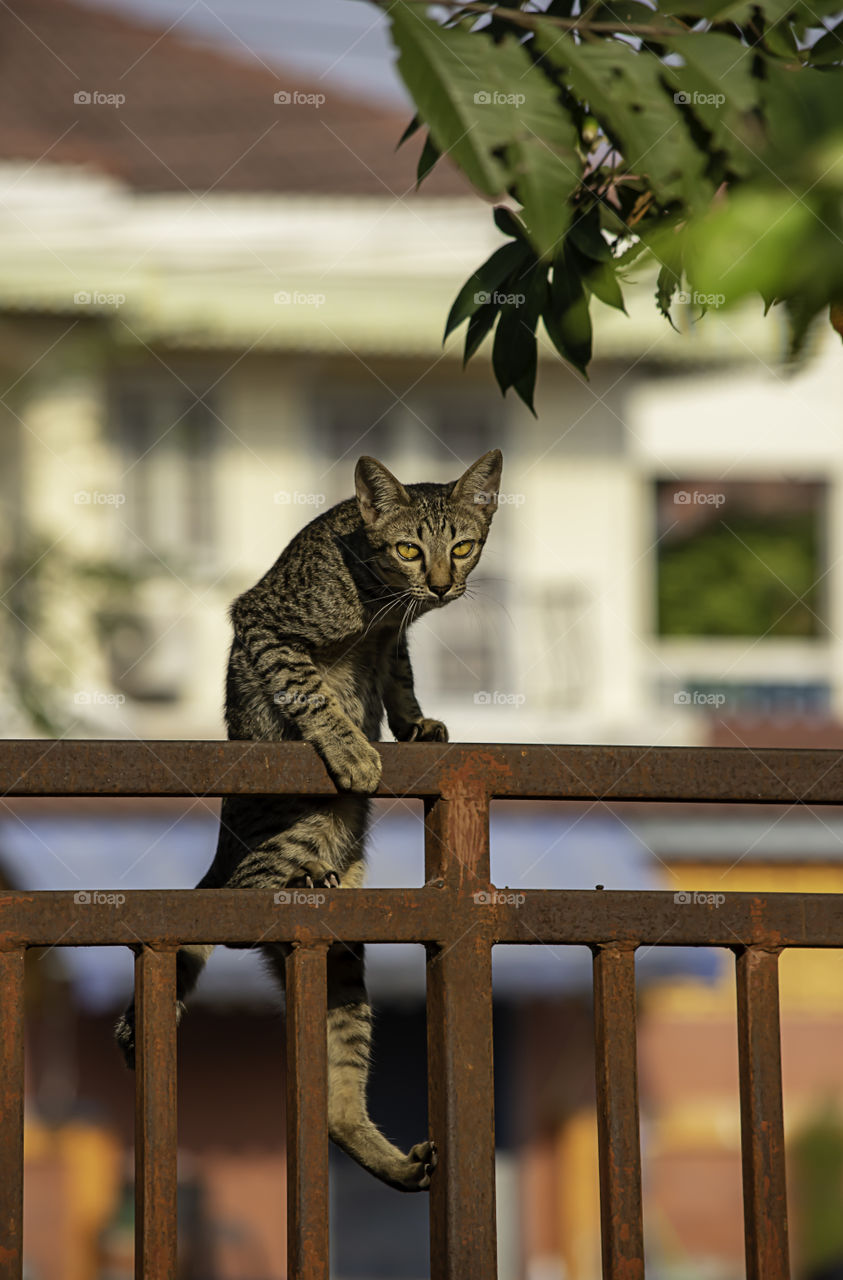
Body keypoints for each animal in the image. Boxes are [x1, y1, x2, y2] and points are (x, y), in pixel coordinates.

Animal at [115, 448, 504, 1187]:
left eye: (463, 547)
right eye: (409, 549)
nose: (441, 585)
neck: (377, 597)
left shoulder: (391, 643)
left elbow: (400, 678)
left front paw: (414, 725)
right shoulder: (265, 625)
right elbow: (313, 692)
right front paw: (353, 749)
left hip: (342, 970)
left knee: (334, 1104)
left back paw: (392, 1163)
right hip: (297, 835)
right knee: (241, 899)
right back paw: (302, 878)